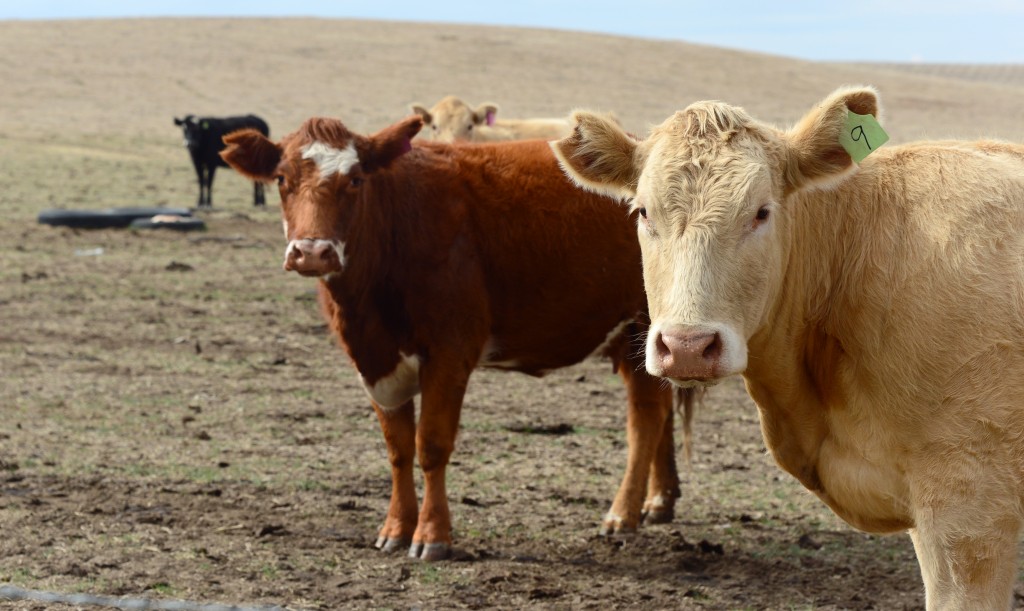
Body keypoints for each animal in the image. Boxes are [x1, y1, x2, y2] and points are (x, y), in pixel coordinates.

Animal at [219, 113, 692, 556]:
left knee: (645, 418)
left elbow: (431, 444)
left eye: (354, 179)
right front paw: (395, 528)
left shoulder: (449, 353)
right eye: (282, 179)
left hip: (643, 325)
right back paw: (658, 501)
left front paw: (432, 536)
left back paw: (623, 513)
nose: (313, 252)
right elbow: (398, 449)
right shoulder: (375, 363)